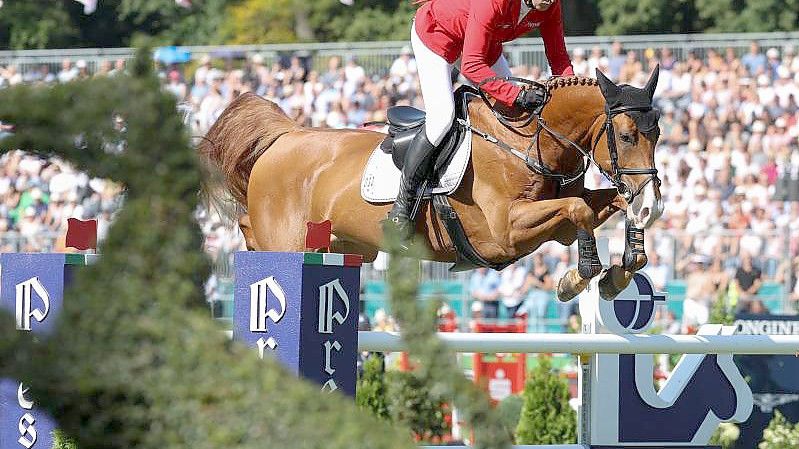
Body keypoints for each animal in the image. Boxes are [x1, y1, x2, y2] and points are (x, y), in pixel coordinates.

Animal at [203, 70, 664, 300]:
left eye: (658, 134)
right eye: (627, 137)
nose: (654, 204)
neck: (524, 141)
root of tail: (287, 136)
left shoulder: (556, 223)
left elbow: (607, 203)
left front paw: (625, 265)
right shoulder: (506, 233)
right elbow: (580, 209)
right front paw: (579, 277)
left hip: (346, 246)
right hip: (286, 233)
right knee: (253, 229)